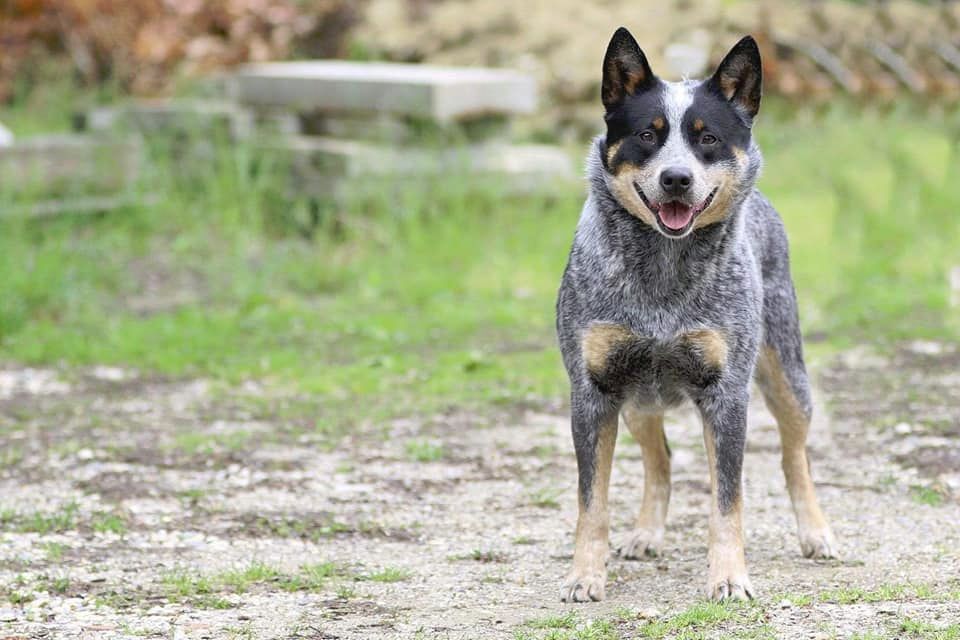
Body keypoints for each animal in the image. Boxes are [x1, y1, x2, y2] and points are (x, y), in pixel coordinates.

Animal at [555, 28, 837, 602]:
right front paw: (584, 577)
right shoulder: (594, 390)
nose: (677, 179)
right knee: (659, 458)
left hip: (785, 373)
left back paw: (815, 532)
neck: (663, 276)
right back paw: (645, 533)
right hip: (639, 399)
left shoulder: (726, 393)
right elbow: (592, 502)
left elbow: (728, 501)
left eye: (708, 139)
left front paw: (728, 578)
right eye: (647, 134)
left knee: (793, 454)